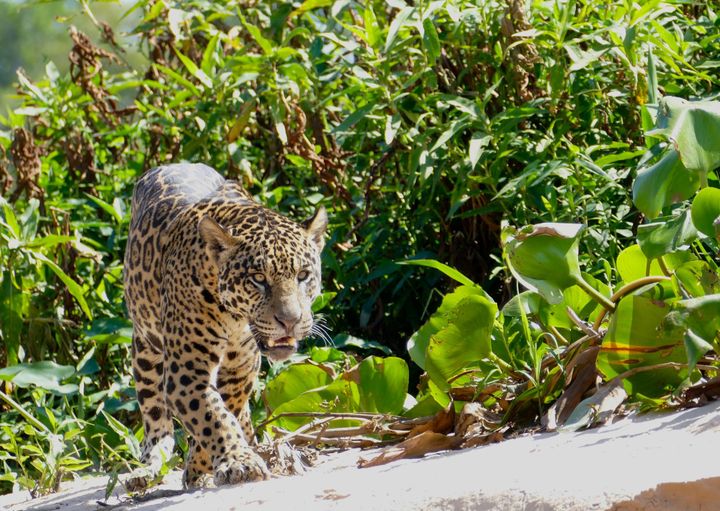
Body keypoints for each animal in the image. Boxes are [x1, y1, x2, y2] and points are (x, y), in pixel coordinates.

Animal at [123, 163, 327, 489]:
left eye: (303, 275)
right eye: (258, 278)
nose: (290, 320)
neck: (234, 318)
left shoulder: (241, 366)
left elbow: (224, 410)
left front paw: (201, 466)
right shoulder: (185, 370)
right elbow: (212, 417)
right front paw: (239, 462)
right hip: (145, 349)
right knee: (155, 418)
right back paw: (148, 467)